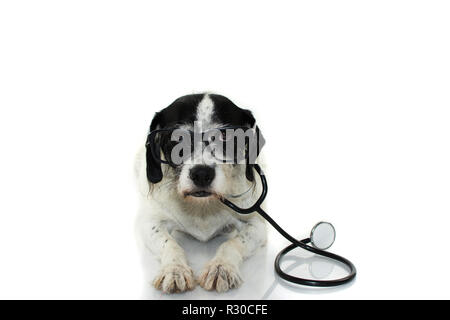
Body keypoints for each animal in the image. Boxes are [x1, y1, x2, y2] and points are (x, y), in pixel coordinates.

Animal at [135, 94, 266, 294]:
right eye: (177, 138)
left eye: (225, 136)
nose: (202, 174)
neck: (202, 208)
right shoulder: (150, 224)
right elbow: (169, 244)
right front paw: (175, 269)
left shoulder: (256, 224)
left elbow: (233, 243)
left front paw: (221, 267)